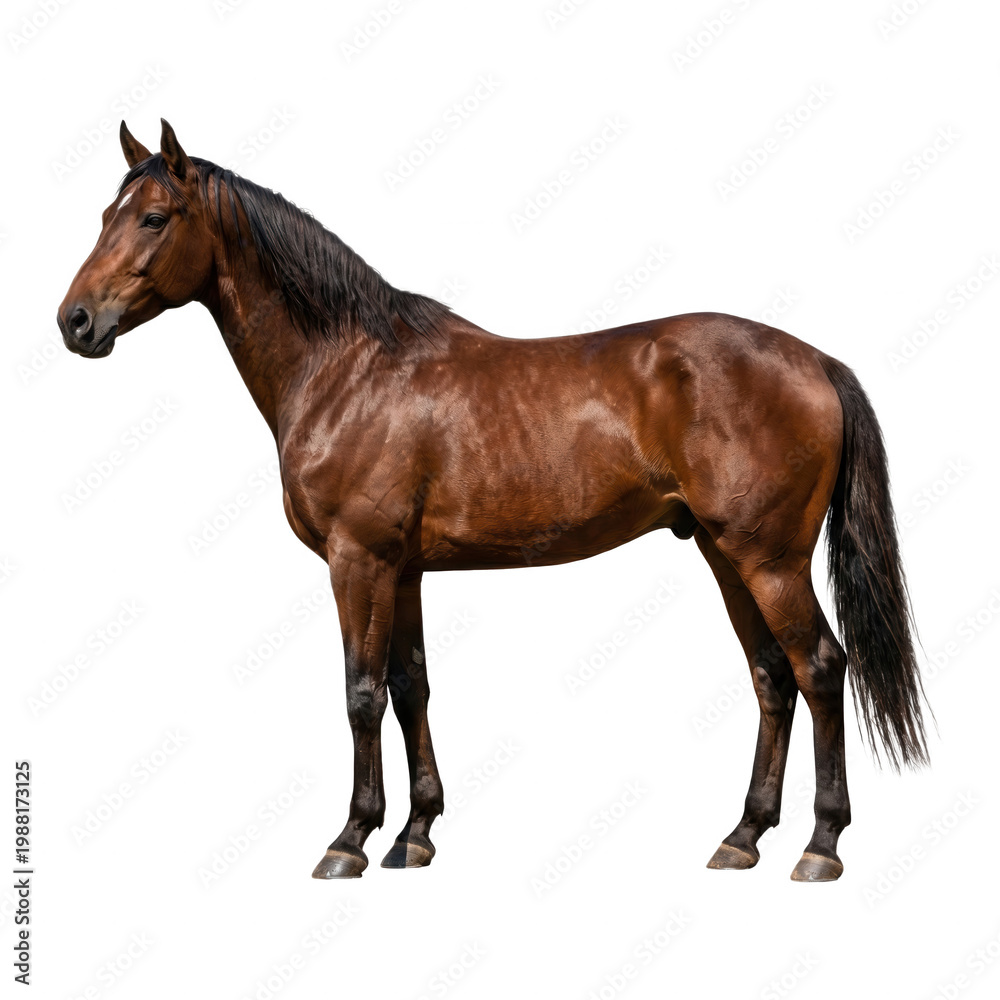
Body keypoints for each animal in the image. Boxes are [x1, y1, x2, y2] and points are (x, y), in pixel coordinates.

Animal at [57, 119, 929, 882]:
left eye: (154, 217)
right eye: (104, 216)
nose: (75, 321)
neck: (348, 367)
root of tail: (815, 360)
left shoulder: (357, 561)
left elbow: (361, 694)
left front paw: (350, 840)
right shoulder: (402, 570)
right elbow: (409, 687)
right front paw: (415, 834)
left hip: (768, 559)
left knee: (820, 668)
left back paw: (820, 846)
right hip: (725, 554)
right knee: (771, 677)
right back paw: (742, 836)